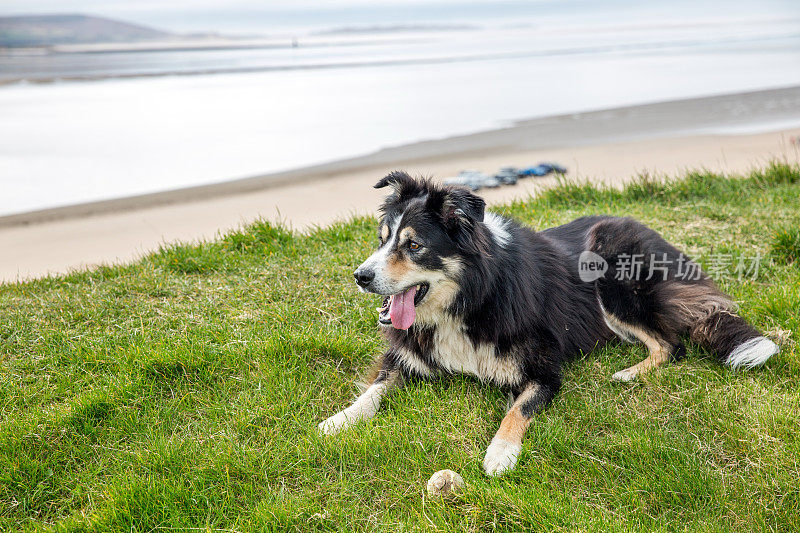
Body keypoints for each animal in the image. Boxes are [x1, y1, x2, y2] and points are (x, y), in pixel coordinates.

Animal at [318, 172, 776, 476]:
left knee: (669, 345)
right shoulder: (408, 353)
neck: (470, 299)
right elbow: (375, 388)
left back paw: (629, 373)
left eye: (414, 245)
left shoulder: (544, 370)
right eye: (382, 240)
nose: (360, 276)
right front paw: (339, 419)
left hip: (612, 276)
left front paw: (500, 454)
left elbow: (516, 410)